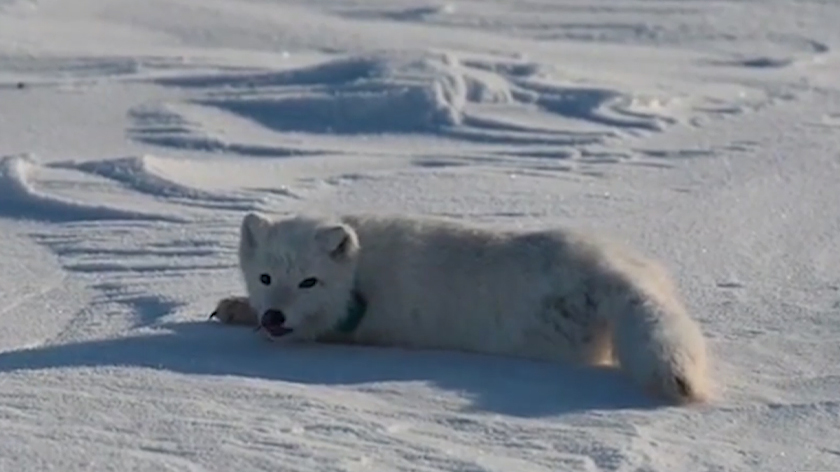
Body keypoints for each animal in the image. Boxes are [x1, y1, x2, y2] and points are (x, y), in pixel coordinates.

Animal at [210, 212, 708, 404]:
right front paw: (237, 307)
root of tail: (609, 273)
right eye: (265, 278)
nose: (274, 316)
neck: (358, 273)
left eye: (308, 282)